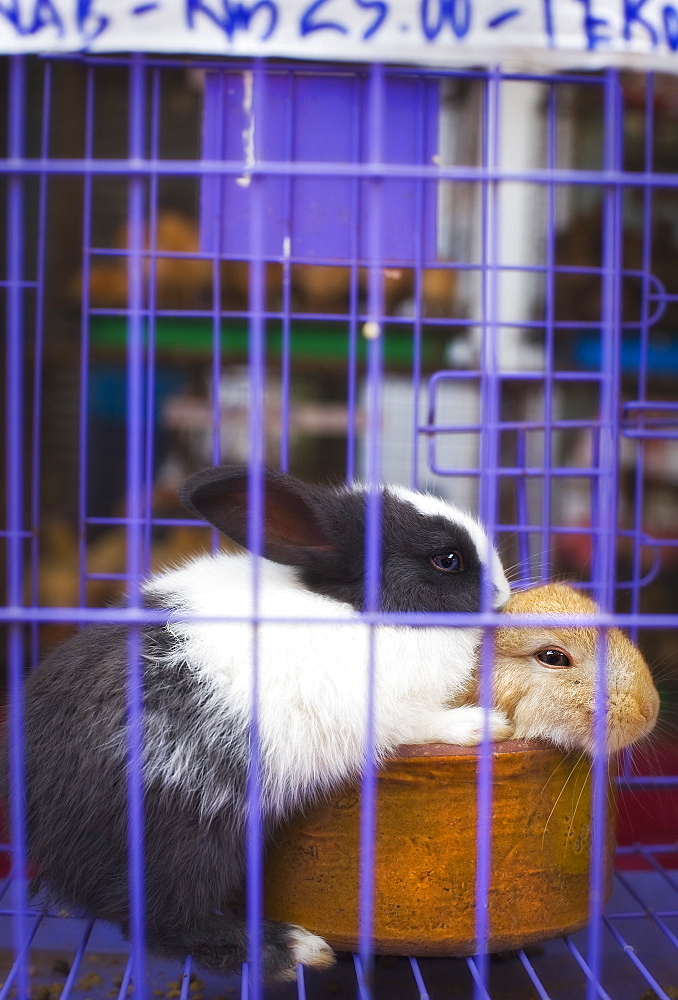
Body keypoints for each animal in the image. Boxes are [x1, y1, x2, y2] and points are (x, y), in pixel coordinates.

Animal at [15, 464, 512, 980]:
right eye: (447, 560)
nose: (503, 592)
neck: (361, 609)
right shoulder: (393, 712)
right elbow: (425, 724)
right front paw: (484, 725)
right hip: (189, 834)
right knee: (165, 920)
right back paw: (291, 950)